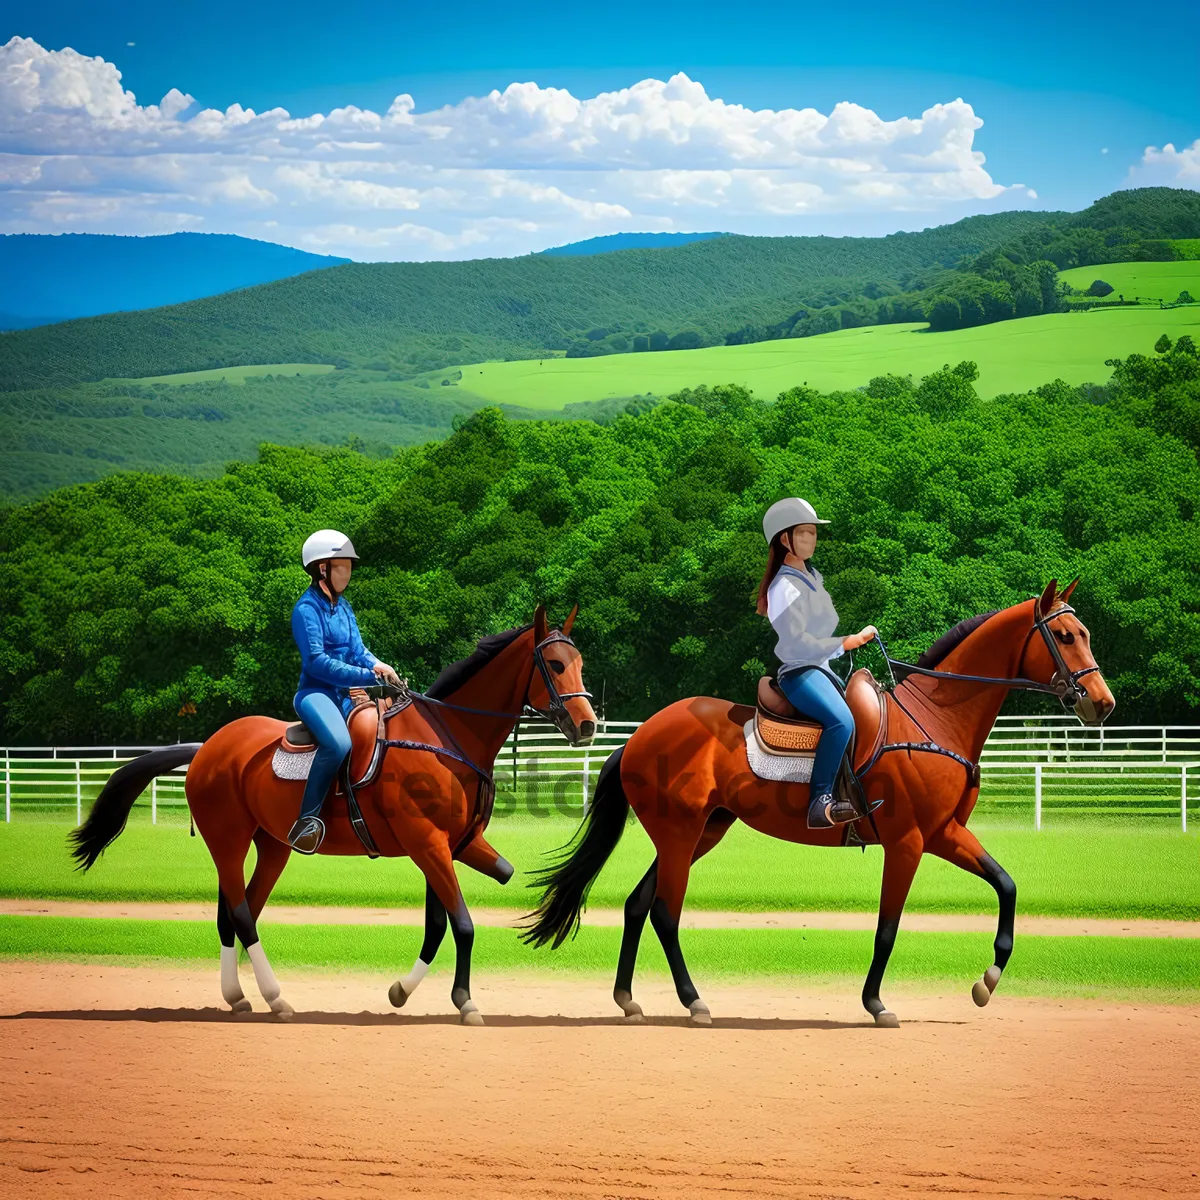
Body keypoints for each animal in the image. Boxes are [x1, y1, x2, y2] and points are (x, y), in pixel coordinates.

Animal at [71, 604, 595, 1027]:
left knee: (236, 914)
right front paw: (465, 1002)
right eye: (553, 664)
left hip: (272, 847)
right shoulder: (427, 845)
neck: (444, 736)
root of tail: (207, 748)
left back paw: (238, 997)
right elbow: (462, 924)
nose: (588, 725)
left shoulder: (449, 847)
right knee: (240, 915)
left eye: (580, 664)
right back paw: (275, 999)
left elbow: (440, 924)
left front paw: (403, 992)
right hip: (228, 842)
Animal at [525, 580, 1113, 1022]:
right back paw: (694, 1002)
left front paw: (988, 980)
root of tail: (638, 737)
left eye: (1085, 633)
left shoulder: (945, 834)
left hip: (698, 833)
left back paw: (628, 999)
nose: (1102, 702)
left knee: (638, 904)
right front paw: (875, 1003)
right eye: (1065, 635)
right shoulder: (907, 843)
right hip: (680, 833)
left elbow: (1006, 885)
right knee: (665, 913)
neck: (932, 718)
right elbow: (887, 927)